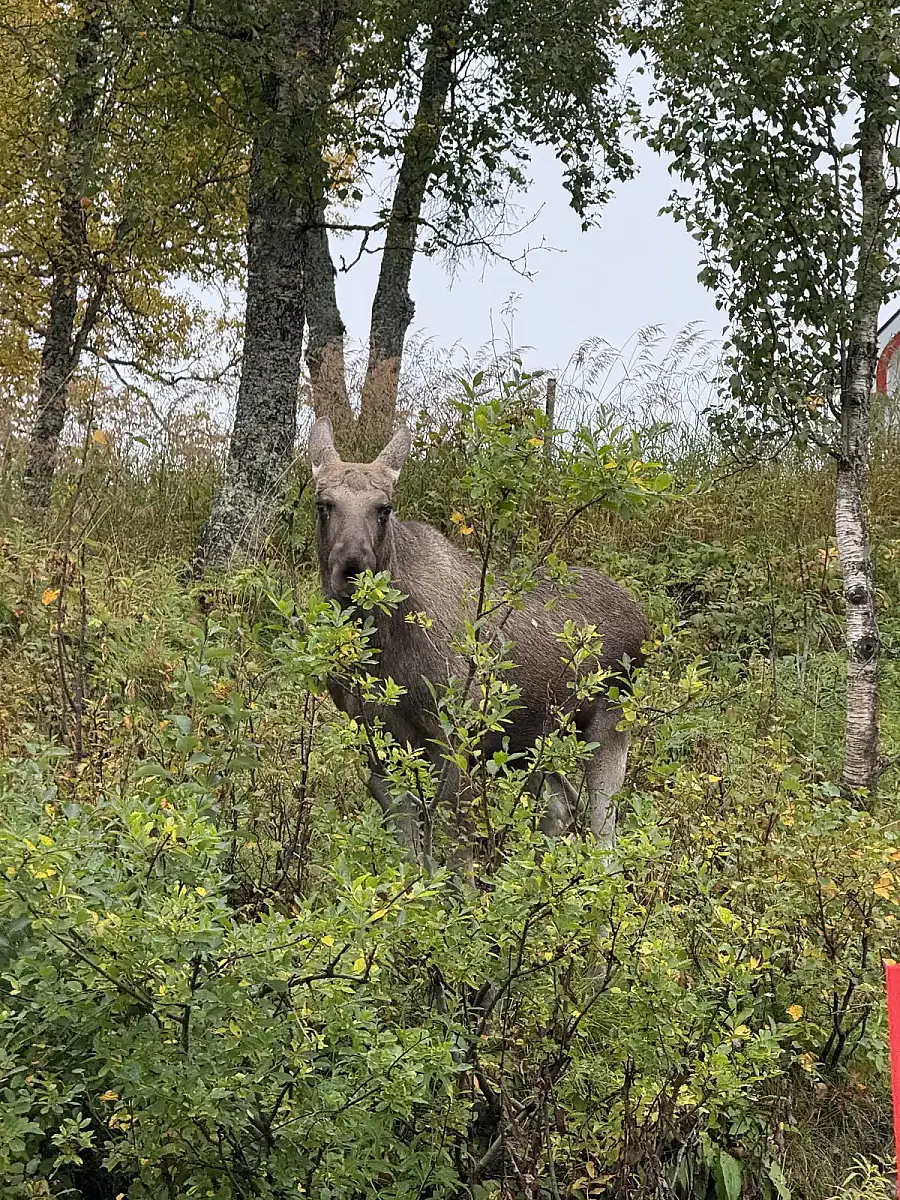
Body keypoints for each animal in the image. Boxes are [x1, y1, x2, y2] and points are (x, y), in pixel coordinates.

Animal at [308, 416, 650, 866]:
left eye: (384, 508)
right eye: (323, 504)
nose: (353, 567)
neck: (382, 649)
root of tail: (644, 620)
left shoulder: (455, 734)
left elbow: (454, 843)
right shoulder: (377, 738)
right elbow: (408, 847)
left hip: (610, 720)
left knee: (603, 832)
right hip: (531, 740)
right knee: (561, 807)